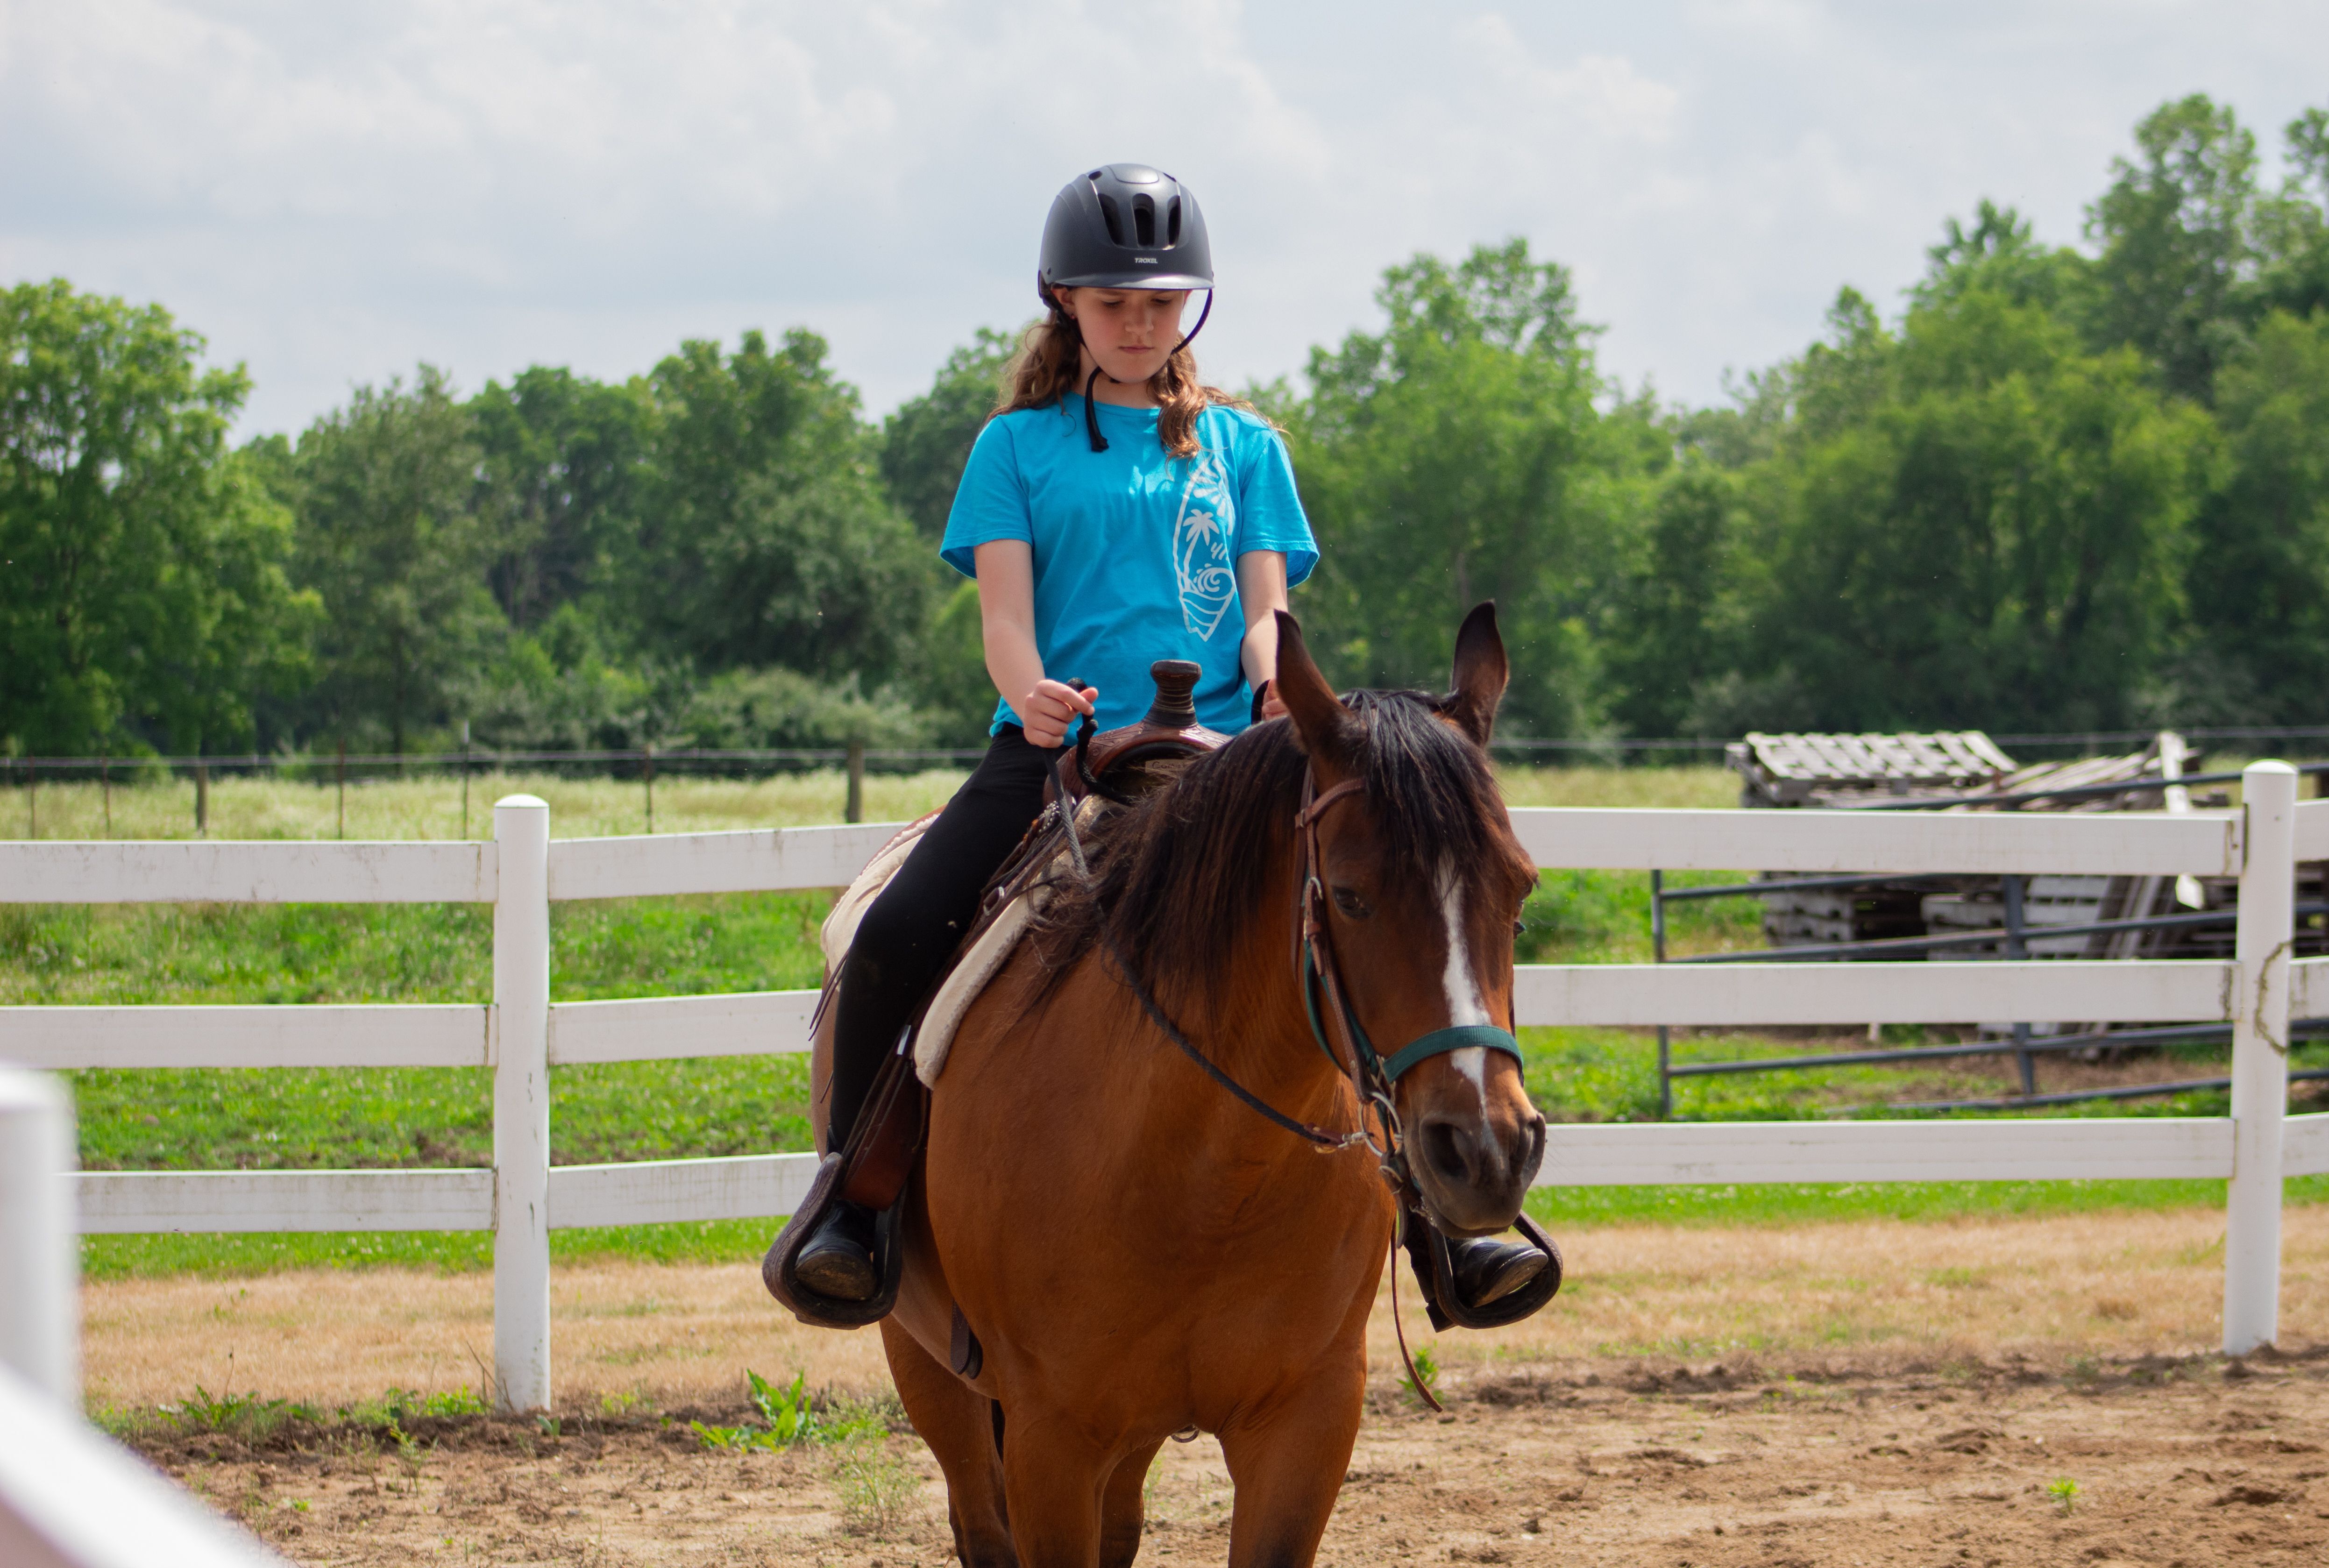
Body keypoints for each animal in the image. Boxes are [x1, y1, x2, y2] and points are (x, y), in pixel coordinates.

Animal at [807, 605, 1546, 1567]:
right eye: (1350, 896)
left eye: (1519, 891)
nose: (1488, 1151)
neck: (1206, 1175)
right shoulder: (1052, 1440)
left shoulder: (1307, 1422)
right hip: (929, 1366)